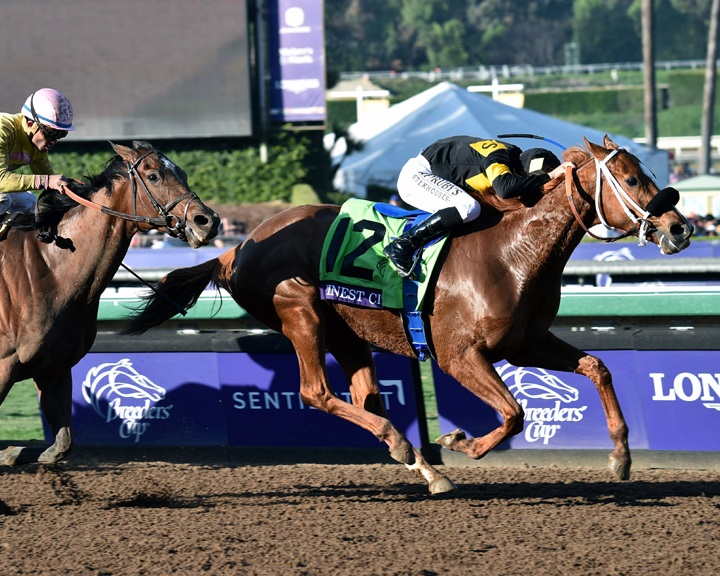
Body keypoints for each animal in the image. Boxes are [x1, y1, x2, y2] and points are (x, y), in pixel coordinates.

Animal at [0, 141, 220, 466]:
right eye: (153, 176)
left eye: (182, 172)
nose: (207, 221)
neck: (52, 267)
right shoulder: (5, 364)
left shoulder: (54, 366)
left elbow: (61, 444)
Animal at [125, 136, 692, 494]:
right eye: (631, 179)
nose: (680, 228)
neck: (512, 253)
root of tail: (237, 248)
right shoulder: (459, 356)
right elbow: (513, 413)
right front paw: (460, 440)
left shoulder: (527, 343)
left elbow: (598, 366)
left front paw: (621, 457)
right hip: (300, 311)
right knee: (315, 391)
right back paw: (408, 447)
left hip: (347, 331)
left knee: (365, 397)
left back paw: (424, 467)